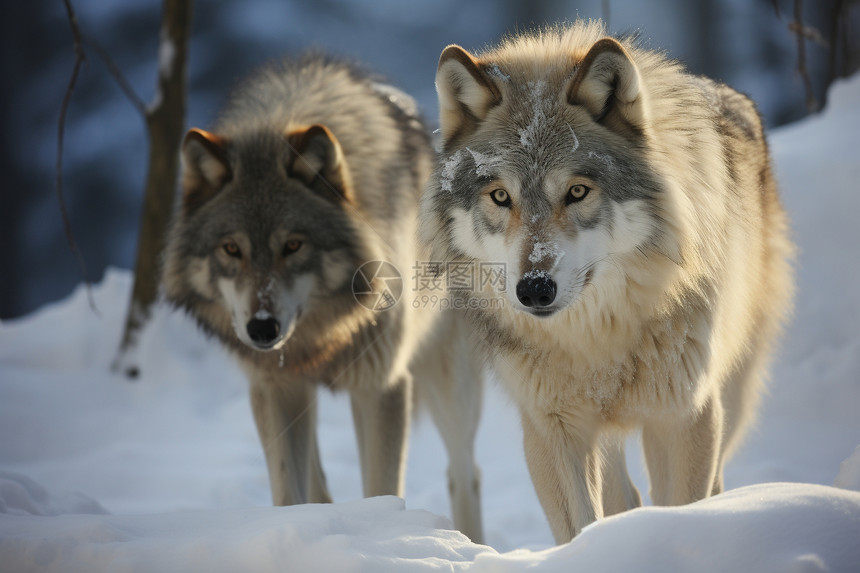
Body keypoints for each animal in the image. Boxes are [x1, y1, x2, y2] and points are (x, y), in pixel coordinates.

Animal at [161, 53, 484, 540]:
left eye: (293, 245)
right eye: (231, 249)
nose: (262, 328)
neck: (324, 335)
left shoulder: (382, 385)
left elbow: (382, 490)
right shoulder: (273, 388)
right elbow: (287, 492)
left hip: (450, 385)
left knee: (465, 473)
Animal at [420, 21, 796, 540]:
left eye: (577, 191)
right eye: (500, 197)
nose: (534, 289)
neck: (598, 341)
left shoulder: (684, 416)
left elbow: (679, 510)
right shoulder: (550, 427)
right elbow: (579, 527)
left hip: (731, 397)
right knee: (627, 496)